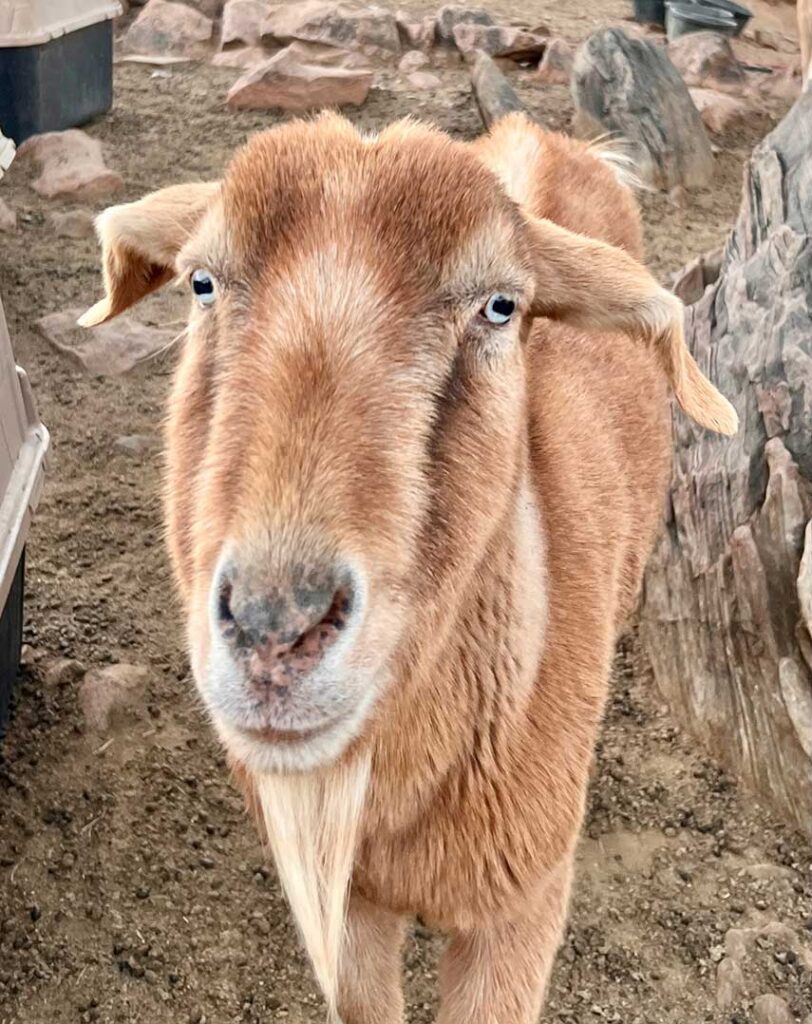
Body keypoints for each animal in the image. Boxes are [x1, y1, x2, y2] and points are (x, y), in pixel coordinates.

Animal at [81, 112, 736, 1024]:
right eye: (201, 282)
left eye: (501, 306)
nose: (275, 630)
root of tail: (540, 133)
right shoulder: (353, 910)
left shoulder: (522, 908)